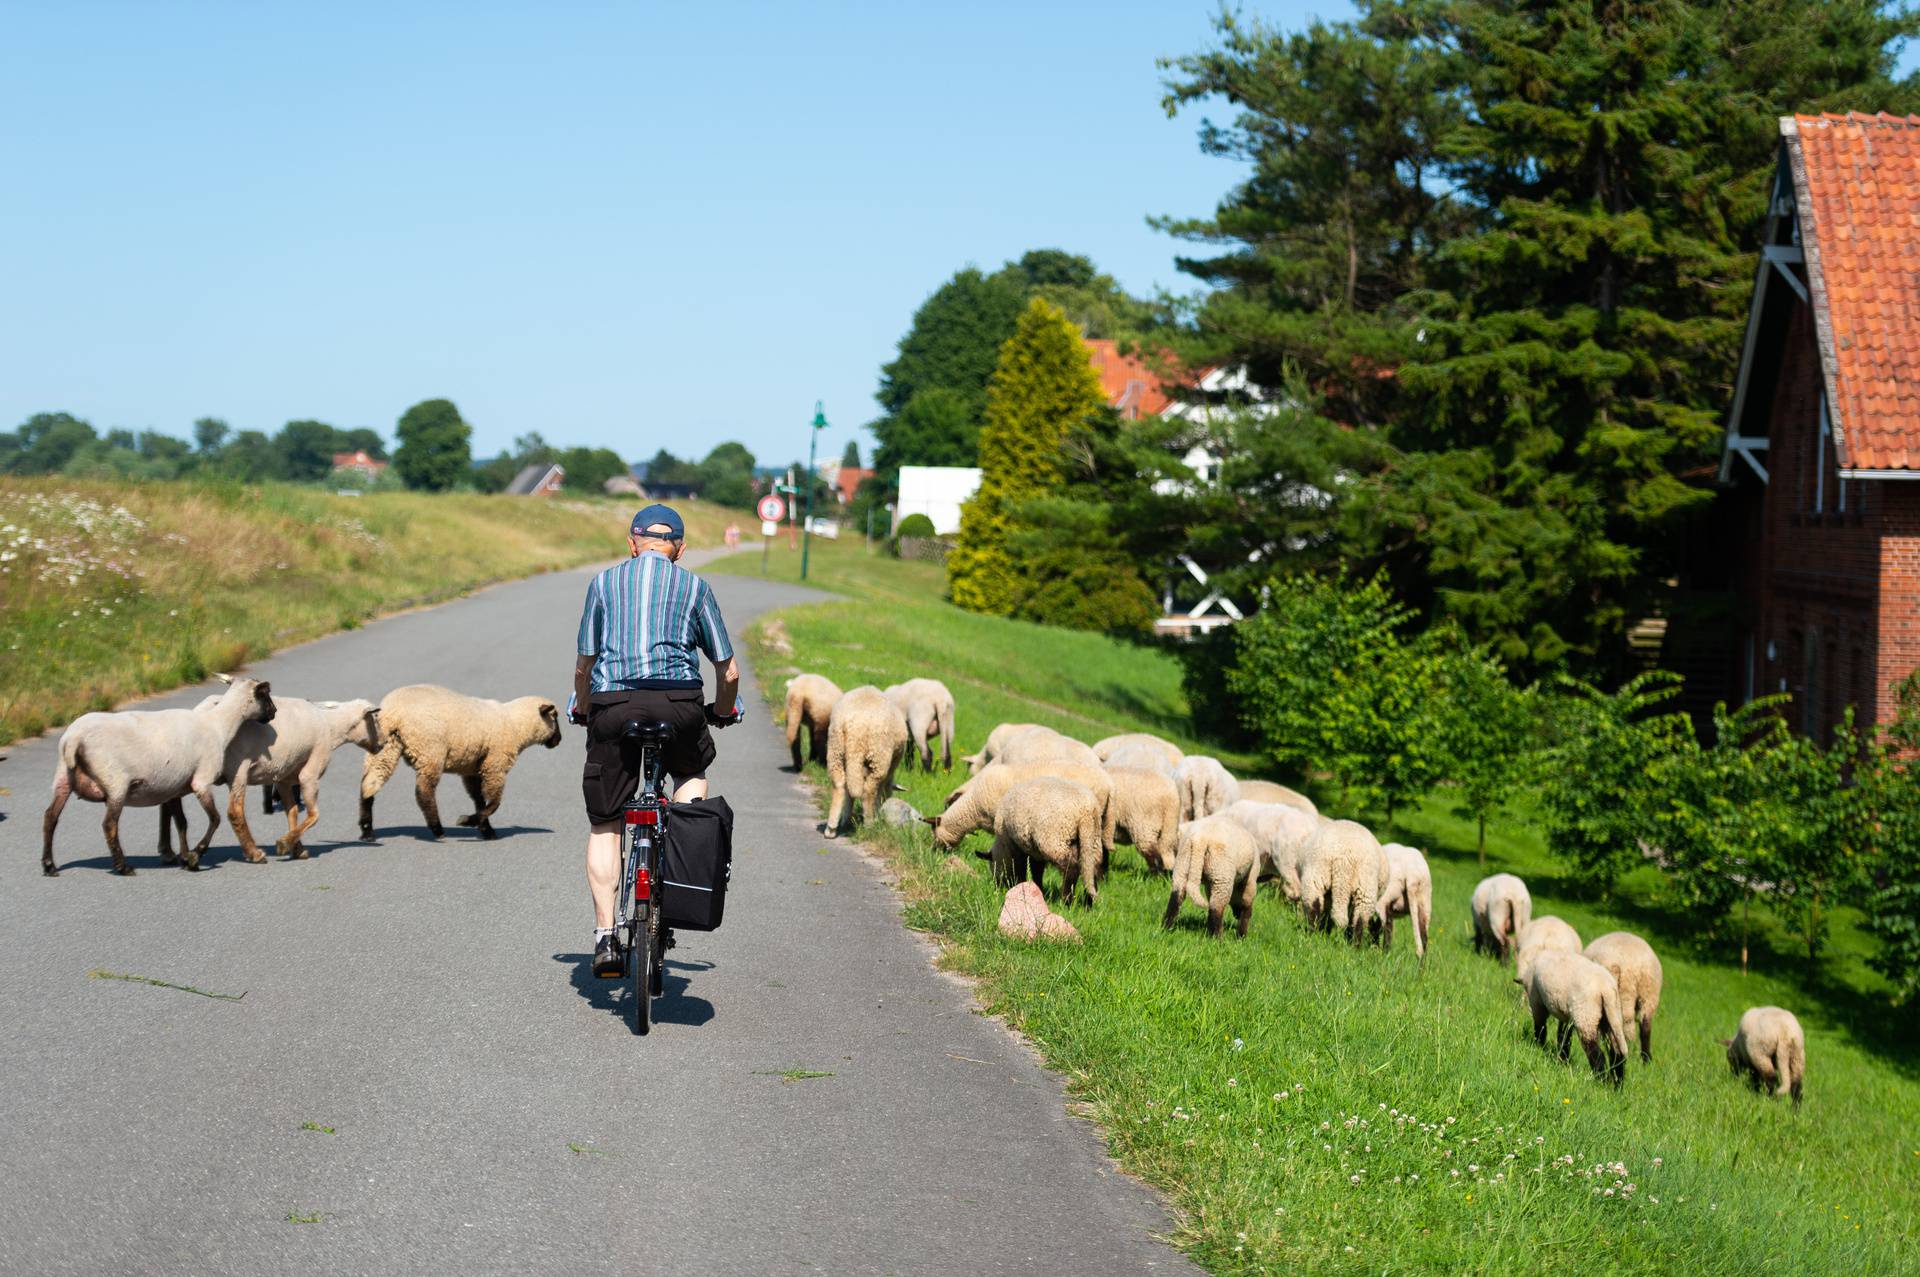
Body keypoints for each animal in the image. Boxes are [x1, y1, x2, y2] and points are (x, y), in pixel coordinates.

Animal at [39, 675, 278, 875]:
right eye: (265, 694)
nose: (274, 712)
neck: (217, 725)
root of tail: (74, 739)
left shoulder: (175, 787)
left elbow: (181, 823)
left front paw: (184, 857)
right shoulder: (201, 781)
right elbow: (215, 819)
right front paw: (195, 855)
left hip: (63, 777)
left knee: (50, 817)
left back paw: (49, 865)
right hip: (115, 782)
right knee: (109, 824)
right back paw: (123, 867)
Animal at [359, 683, 560, 841]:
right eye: (555, 717)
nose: (559, 740)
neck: (516, 725)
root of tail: (393, 712)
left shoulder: (472, 768)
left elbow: (479, 799)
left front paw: (486, 830)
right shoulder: (495, 763)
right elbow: (494, 802)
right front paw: (468, 821)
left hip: (384, 747)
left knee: (369, 784)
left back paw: (367, 831)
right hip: (430, 750)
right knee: (423, 792)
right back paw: (437, 829)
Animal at [821, 687, 910, 837]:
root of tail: (855, 726)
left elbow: (849, 793)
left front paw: (845, 819)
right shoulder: (889, 770)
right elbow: (878, 792)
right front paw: (878, 813)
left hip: (835, 749)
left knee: (839, 785)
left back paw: (832, 828)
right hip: (879, 757)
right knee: (868, 790)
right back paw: (869, 824)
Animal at [983, 775, 1105, 906]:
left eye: (992, 866)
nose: (997, 885)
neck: (1002, 847)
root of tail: (1086, 810)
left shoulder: (1017, 847)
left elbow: (1022, 869)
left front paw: (1020, 886)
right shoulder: (1035, 851)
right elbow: (1037, 870)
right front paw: (1038, 889)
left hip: (1055, 839)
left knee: (1071, 867)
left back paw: (1066, 901)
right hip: (1092, 838)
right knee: (1091, 868)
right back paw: (1089, 903)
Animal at [1512, 952, 1635, 1083]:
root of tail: (1606, 989)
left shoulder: (1537, 1002)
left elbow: (1541, 1029)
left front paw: (1539, 1046)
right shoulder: (1566, 1016)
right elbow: (1564, 1036)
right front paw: (1562, 1059)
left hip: (1586, 1015)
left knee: (1596, 1053)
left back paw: (1601, 1080)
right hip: (1611, 1015)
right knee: (1616, 1053)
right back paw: (1617, 1084)